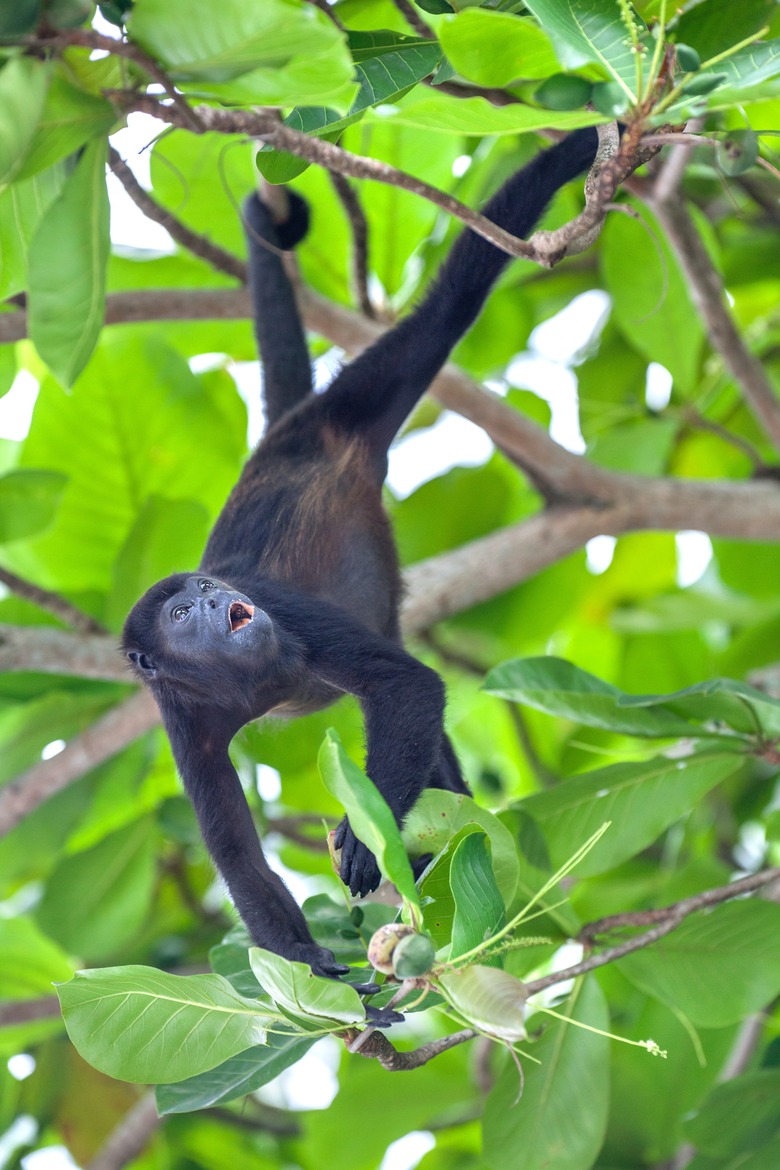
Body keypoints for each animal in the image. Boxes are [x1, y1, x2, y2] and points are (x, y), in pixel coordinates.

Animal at [123, 130, 598, 978]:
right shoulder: (181, 722)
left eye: (206, 587)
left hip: (357, 398)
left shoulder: (285, 611)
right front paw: (310, 966)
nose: (210, 598)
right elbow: (238, 856)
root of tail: (291, 430)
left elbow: (406, 685)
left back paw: (582, 147)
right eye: (181, 611)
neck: (241, 680)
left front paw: (365, 845)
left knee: (452, 299)